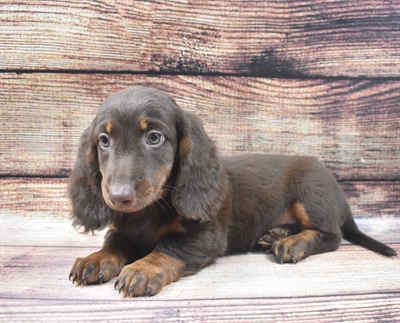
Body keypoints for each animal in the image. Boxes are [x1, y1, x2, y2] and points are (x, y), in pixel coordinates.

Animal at [68, 85, 394, 298]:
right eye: (104, 141)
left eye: (154, 137)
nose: (118, 197)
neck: (149, 210)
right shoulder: (121, 228)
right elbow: (114, 242)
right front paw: (96, 258)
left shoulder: (206, 236)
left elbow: (169, 247)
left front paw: (143, 268)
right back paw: (278, 234)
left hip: (311, 192)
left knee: (331, 235)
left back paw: (293, 242)